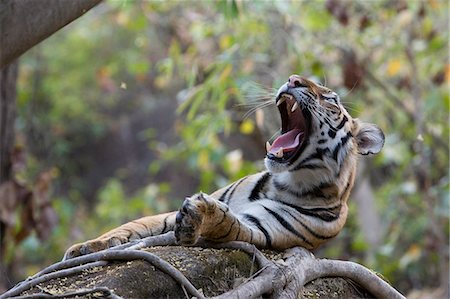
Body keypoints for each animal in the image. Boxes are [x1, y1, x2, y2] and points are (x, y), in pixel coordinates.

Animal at [64, 75, 384, 260]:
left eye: (330, 99)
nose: (294, 80)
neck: (283, 181)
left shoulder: (262, 230)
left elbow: (230, 224)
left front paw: (201, 216)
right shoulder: (164, 215)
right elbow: (134, 225)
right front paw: (85, 247)